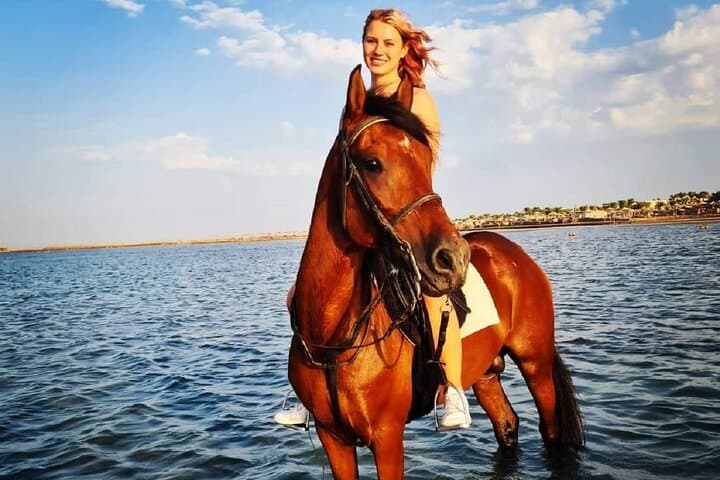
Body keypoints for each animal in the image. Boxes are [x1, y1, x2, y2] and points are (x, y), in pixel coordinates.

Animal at [287, 65, 583, 479]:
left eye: (427, 161)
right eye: (372, 163)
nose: (454, 258)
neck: (332, 336)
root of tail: (515, 253)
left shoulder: (387, 438)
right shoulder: (333, 439)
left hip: (535, 362)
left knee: (551, 430)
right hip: (487, 372)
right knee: (507, 424)